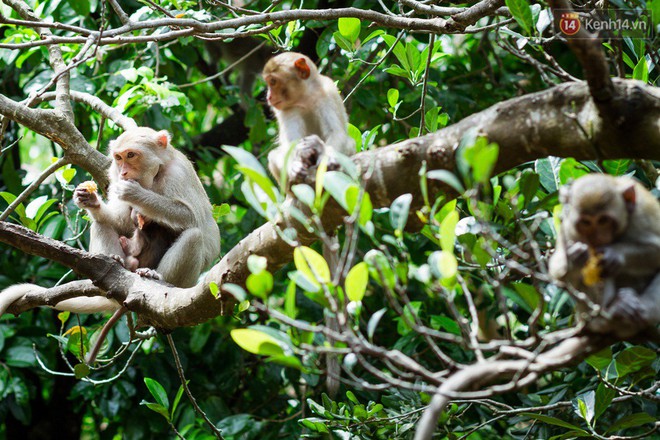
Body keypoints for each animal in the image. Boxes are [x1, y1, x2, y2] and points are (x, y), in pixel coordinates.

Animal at [0, 127, 222, 316]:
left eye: (131, 155)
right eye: (118, 157)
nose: (123, 172)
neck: (155, 175)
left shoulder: (178, 173)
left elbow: (191, 216)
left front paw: (136, 194)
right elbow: (121, 222)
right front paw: (91, 201)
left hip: (184, 286)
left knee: (194, 237)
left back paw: (156, 277)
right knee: (101, 225)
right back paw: (115, 262)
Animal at [262, 51, 356, 187]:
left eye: (273, 81)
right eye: (269, 82)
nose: (268, 97)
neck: (304, 97)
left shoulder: (328, 92)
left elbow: (336, 133)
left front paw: (323, 152)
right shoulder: (286, 109)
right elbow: (292, 143)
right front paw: (295, 165)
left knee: (349, 143)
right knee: (274, 156)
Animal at [548, 174, 660, 338]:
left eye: (604, 220)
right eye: (586, 222)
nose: (597, 237)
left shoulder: (643, 212)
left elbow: (656, 250)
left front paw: (615, 254)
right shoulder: (567, 228)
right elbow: (557, 272)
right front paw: (573, 260)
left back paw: (643, 310)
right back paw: (608, 314)